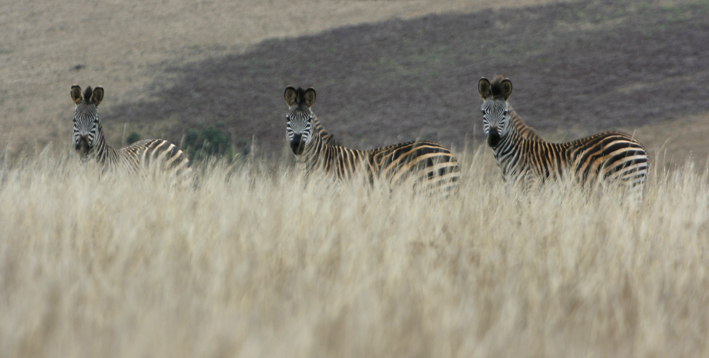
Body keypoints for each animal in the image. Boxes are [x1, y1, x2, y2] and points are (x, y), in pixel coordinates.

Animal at [476, 74, 648, 194]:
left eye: (504, 113)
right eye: (483, 112)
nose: (493, 138)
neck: (514, 155)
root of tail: (638, 144)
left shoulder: (531, 187)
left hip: (627, 184)